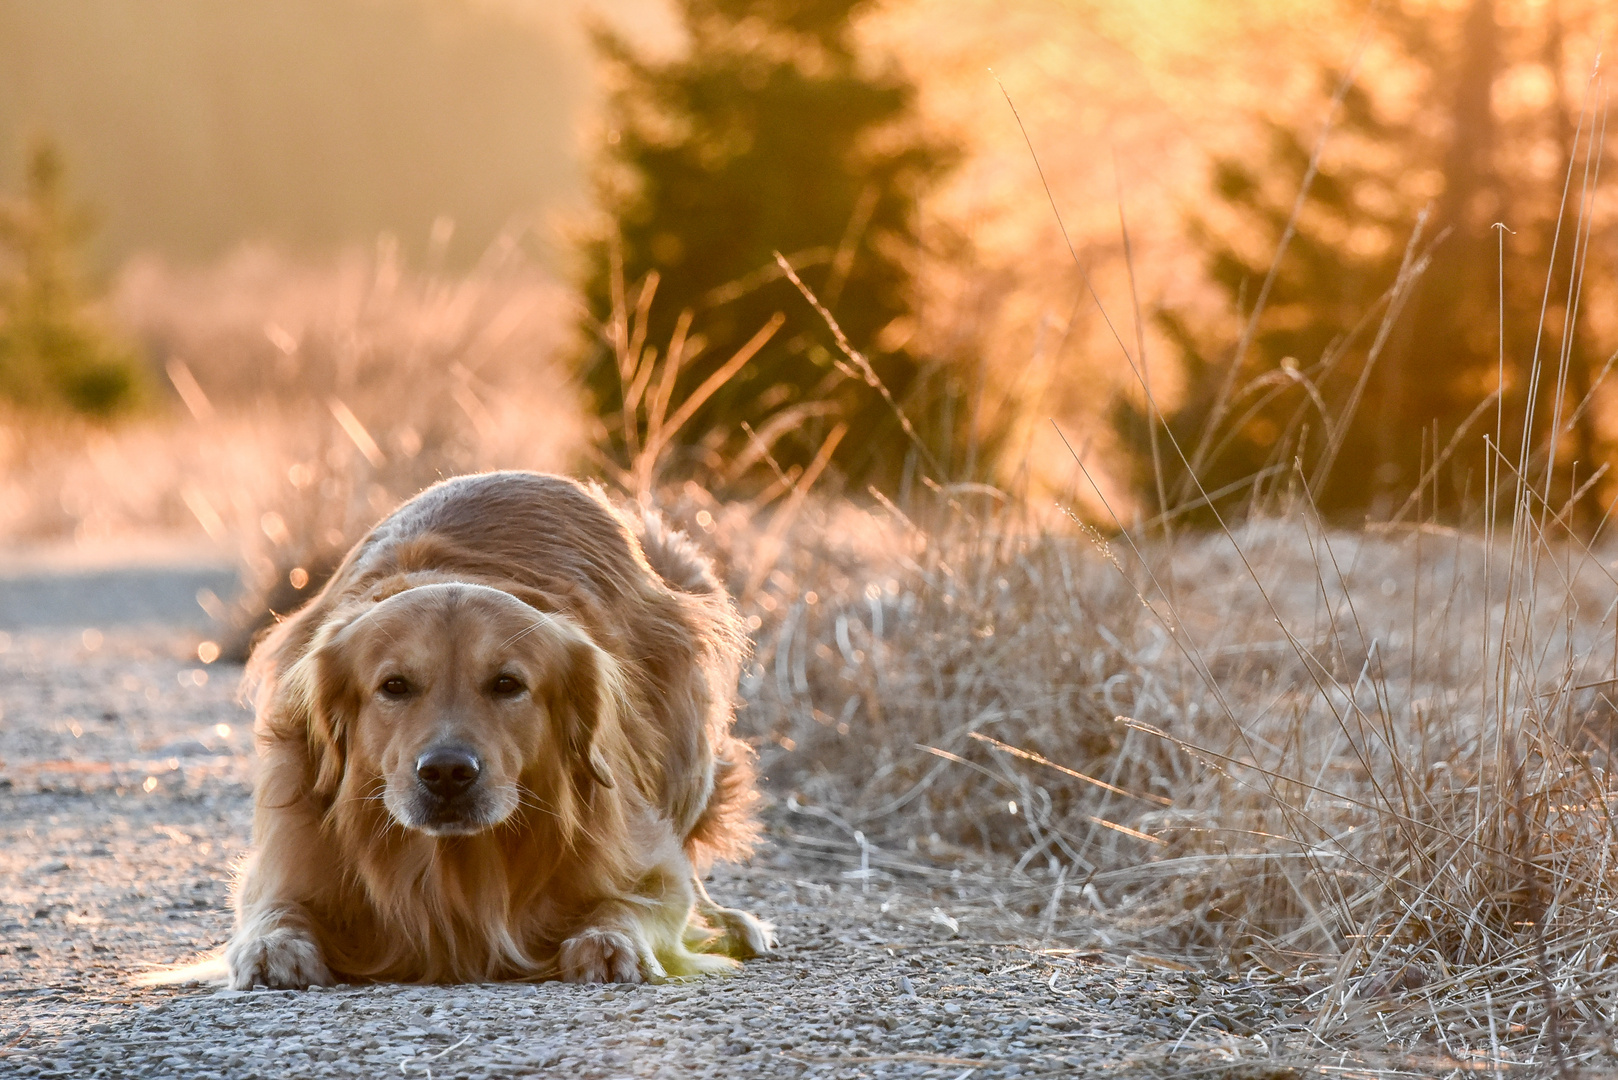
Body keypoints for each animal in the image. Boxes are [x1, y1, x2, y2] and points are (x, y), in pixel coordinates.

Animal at [224, 472, 773, 990]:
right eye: (394, 686)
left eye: (507, 684)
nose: (447, 772)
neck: (452, 869)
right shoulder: (288, 860)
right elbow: (274, 910)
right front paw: (272, 947)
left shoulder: (643, 858)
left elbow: (636, 899)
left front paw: (611, 939)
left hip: (688, 733)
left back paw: (730, 922)